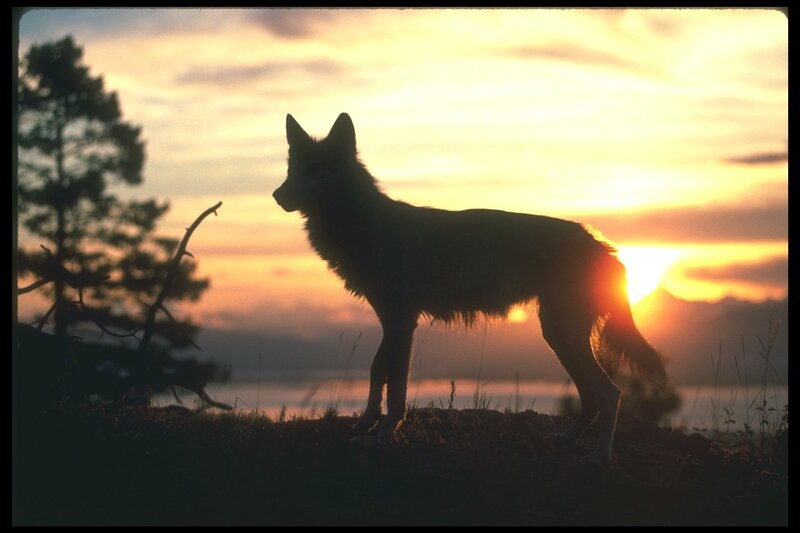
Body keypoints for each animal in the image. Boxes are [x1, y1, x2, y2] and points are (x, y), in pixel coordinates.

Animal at [273, 113, 666, 464]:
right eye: (293, 169)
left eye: (315, 168)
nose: (277, 195)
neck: (365, 225)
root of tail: (604, 246)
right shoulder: (390, 321)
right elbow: (375, 373)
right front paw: (364, 426)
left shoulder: (402, 322)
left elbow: (396, 389)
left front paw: (383, 435)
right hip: (558, 337)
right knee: (590, 396)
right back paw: (567, 440)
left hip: (562, 335)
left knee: (610, 393)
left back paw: (600, 455)